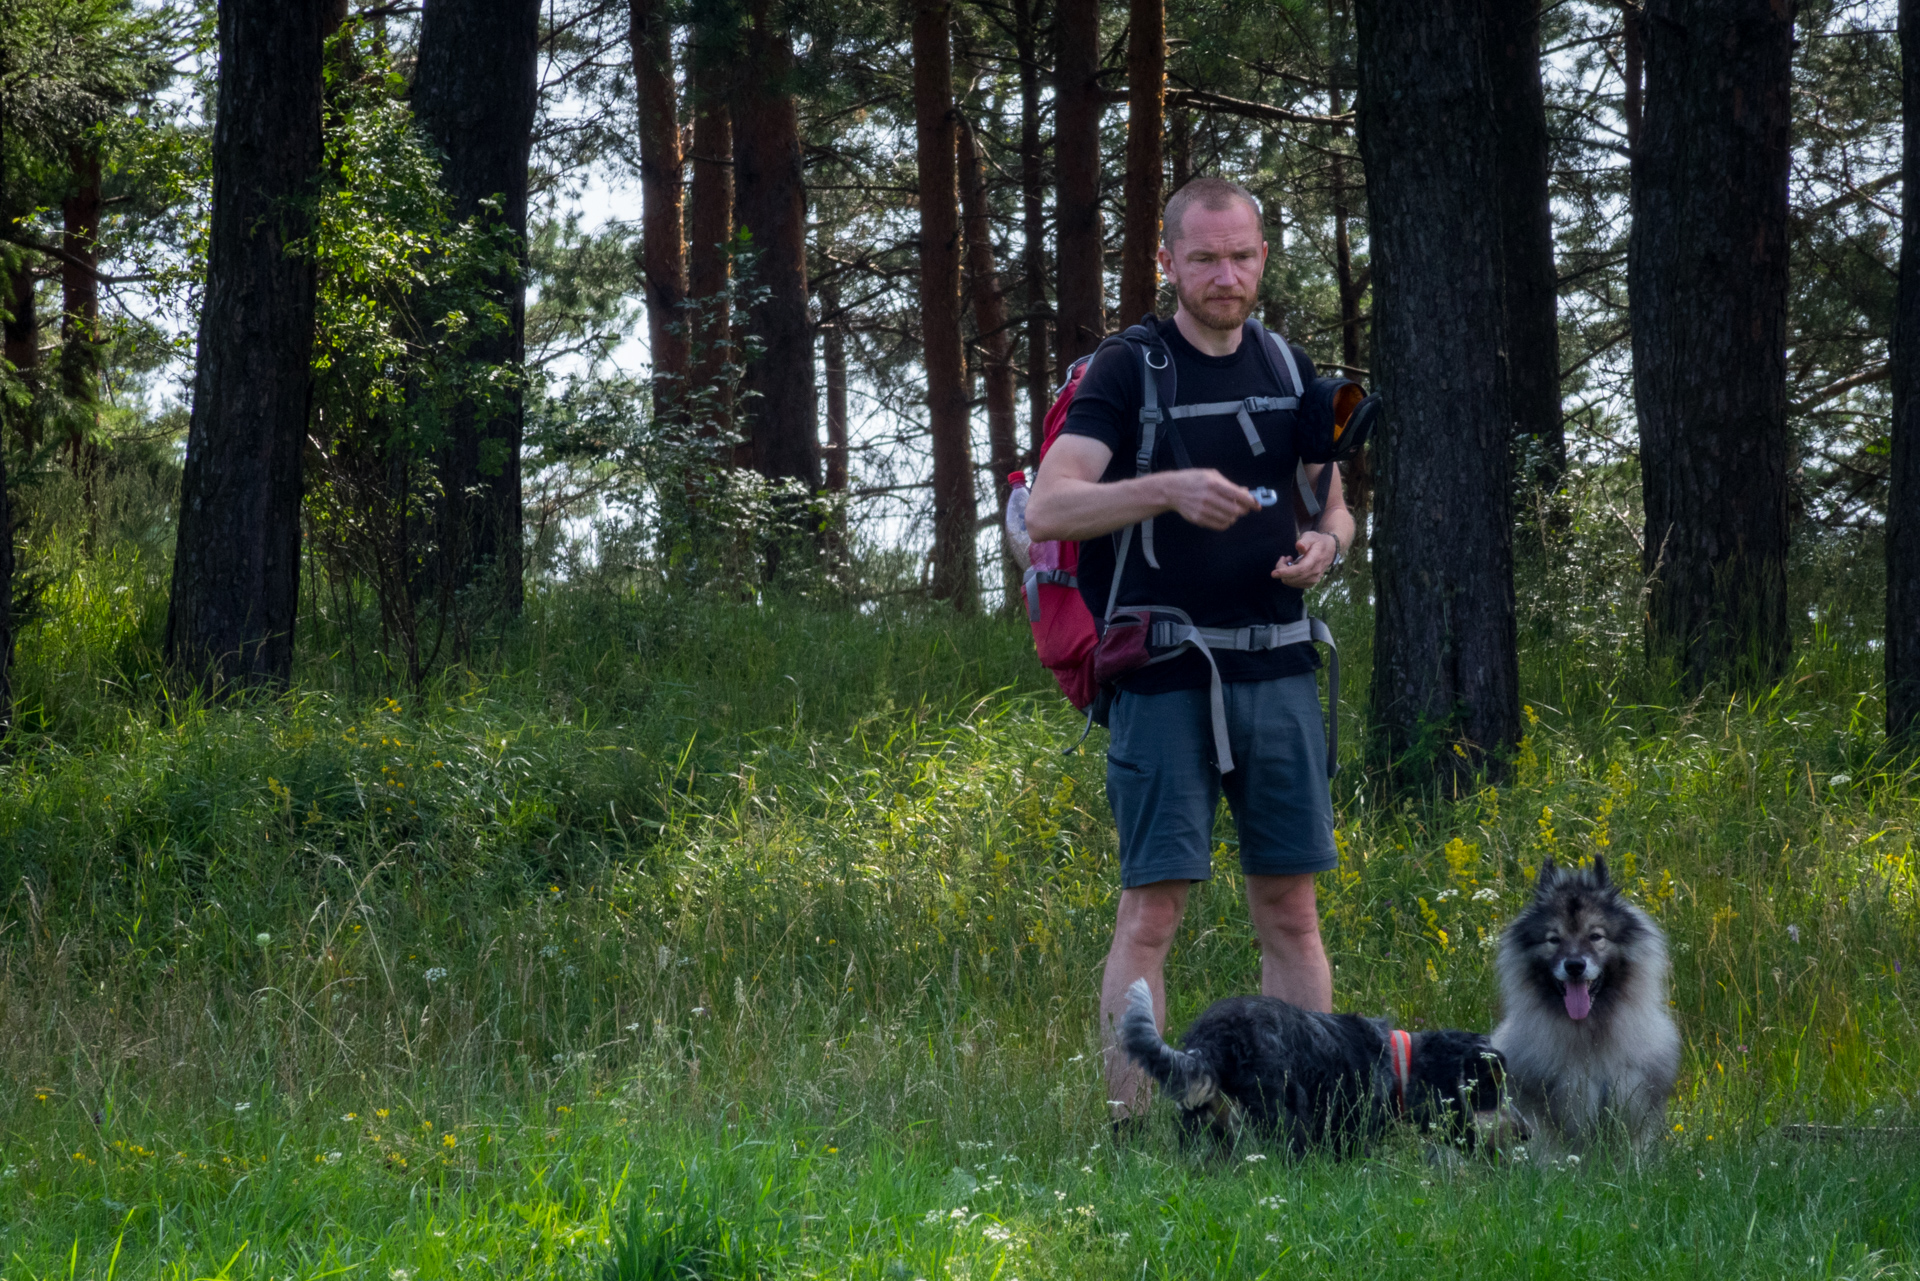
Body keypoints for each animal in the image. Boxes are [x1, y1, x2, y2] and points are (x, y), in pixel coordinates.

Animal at [1121, 983, 1512, 1160]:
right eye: (1489, 1089)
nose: (1519, 1134)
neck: (1399, 1063)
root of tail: (1214, 1037)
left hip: (1198, 1125)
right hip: (1281, 1115)